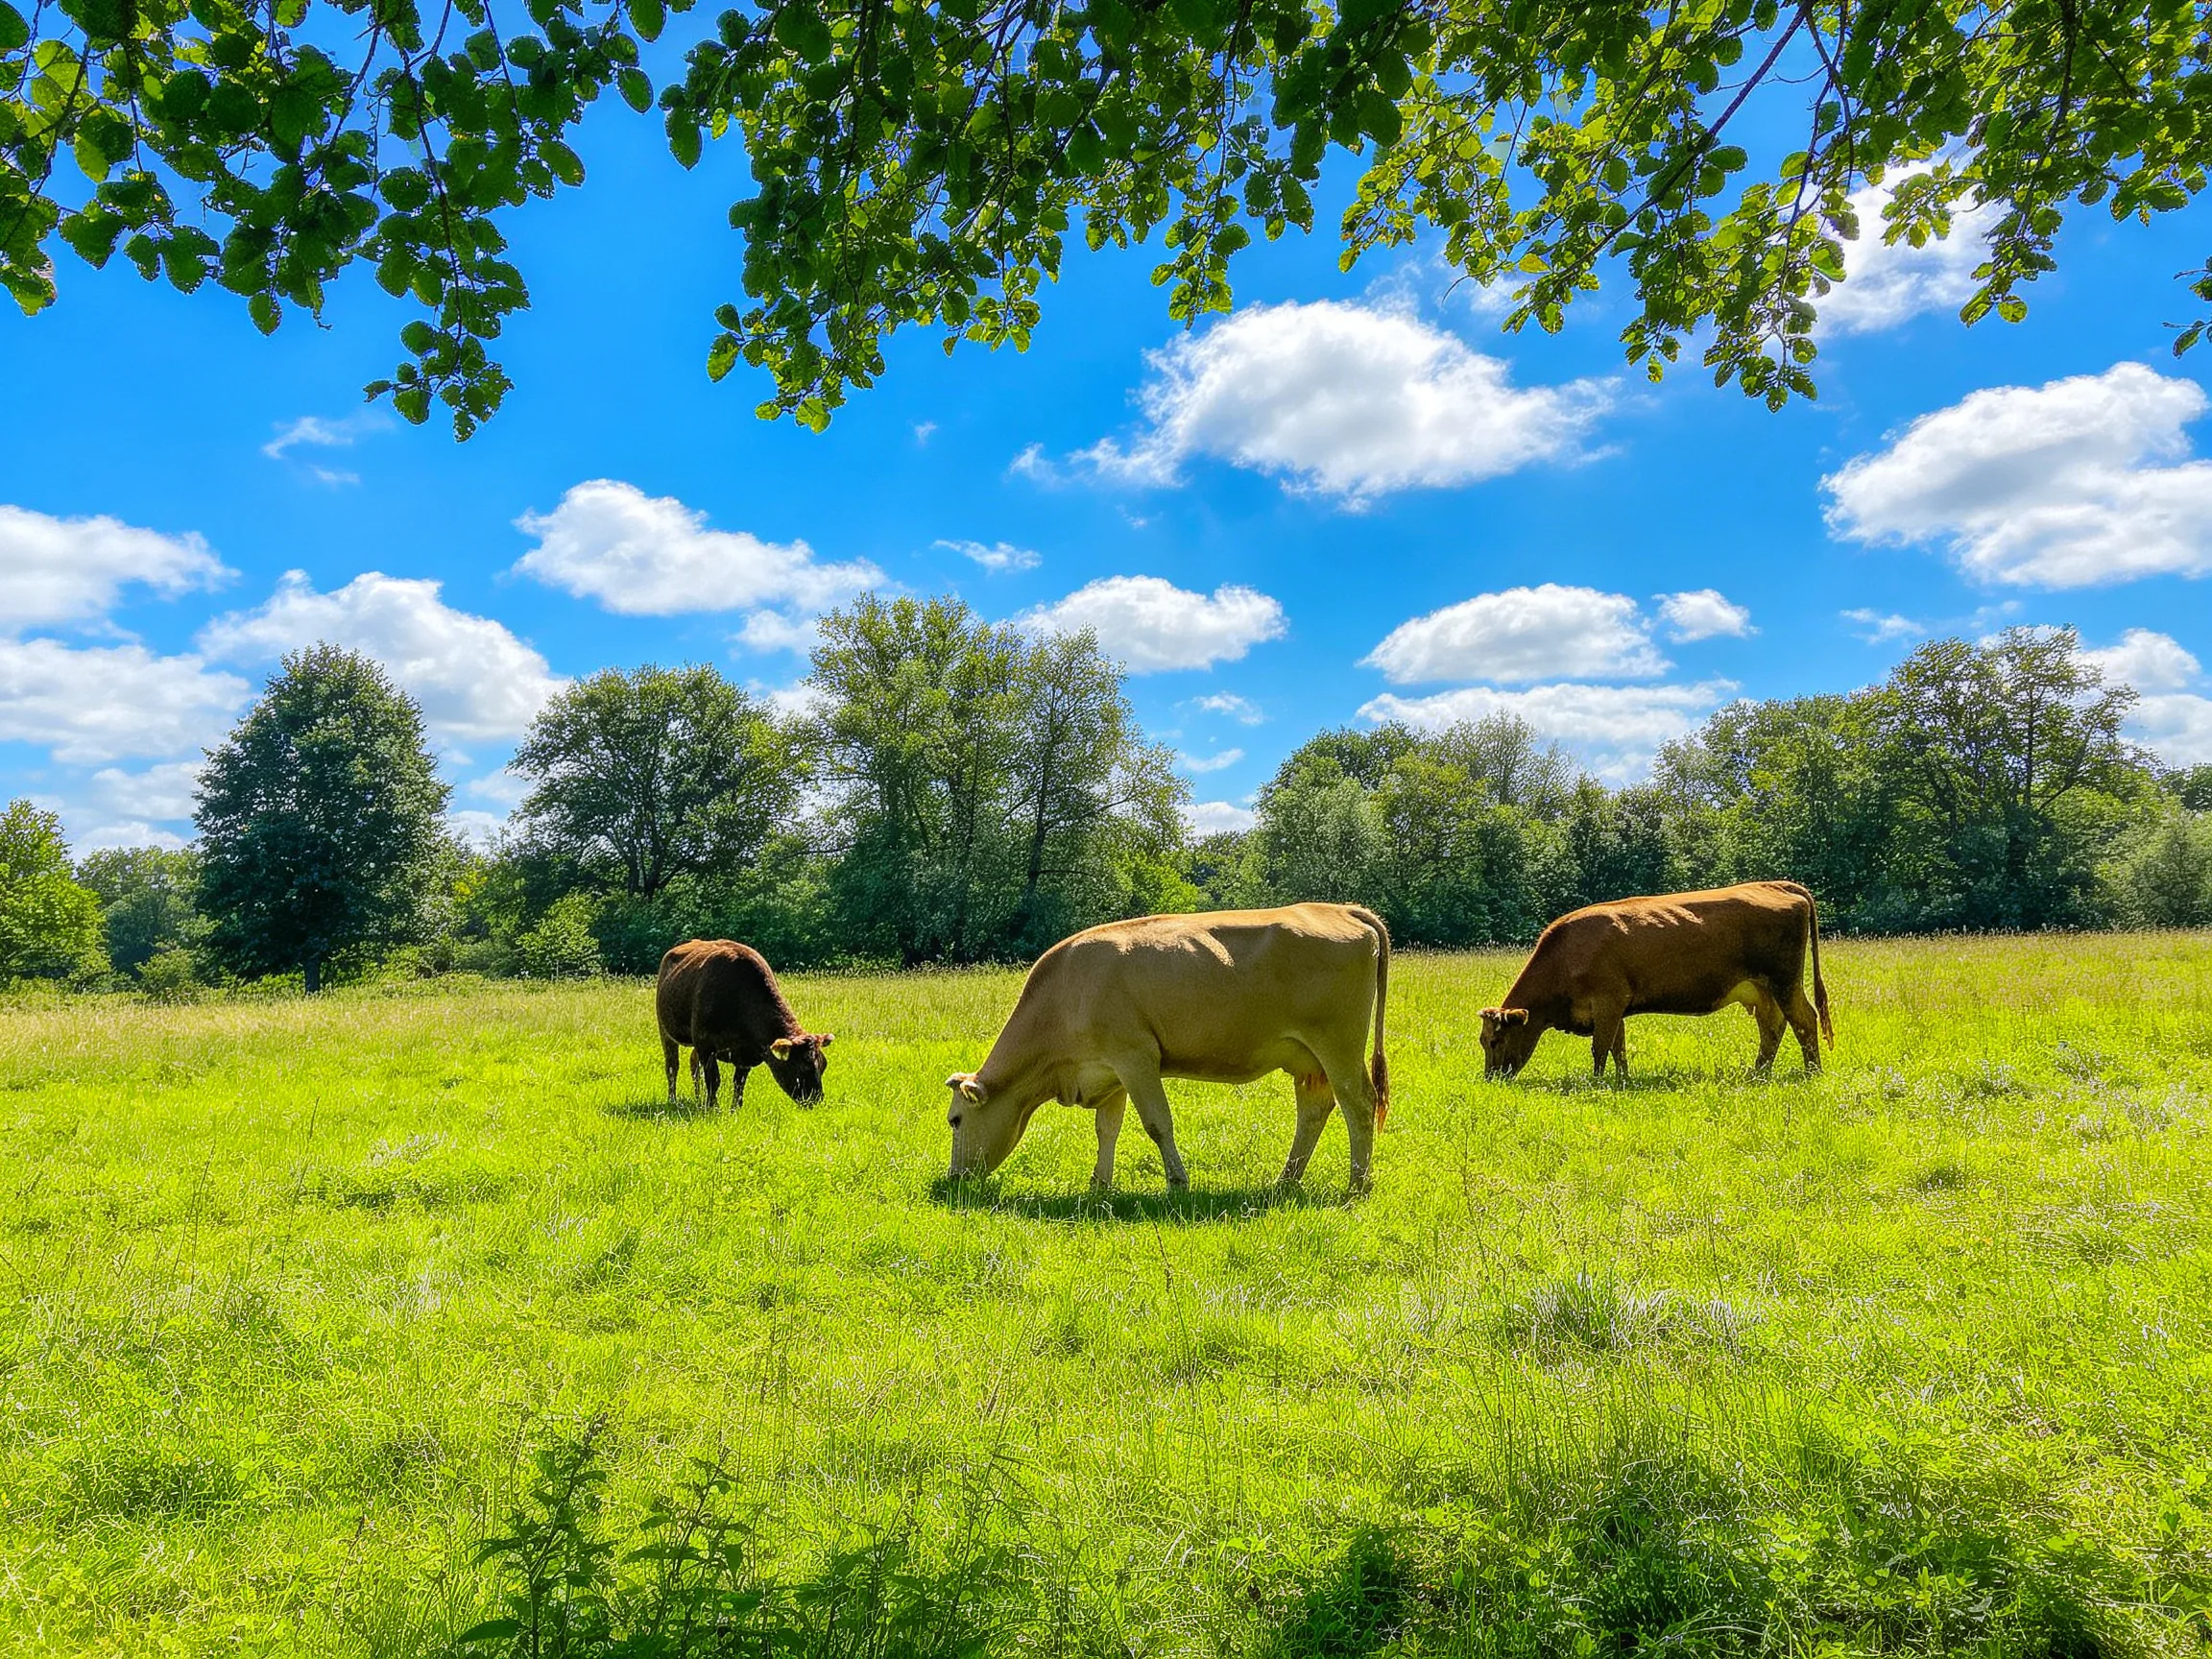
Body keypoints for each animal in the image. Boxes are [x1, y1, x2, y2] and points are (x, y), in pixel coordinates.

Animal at [655, 939, 833, 1110]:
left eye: (823, 1065)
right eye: (803, 1067)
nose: (817, 1099)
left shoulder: (745, 1052)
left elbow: (739, 1083)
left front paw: (735, 1108)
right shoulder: (704, 1042)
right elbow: (713, 1079)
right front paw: (713, 1107)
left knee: (693, 1063)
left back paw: (699, 1099)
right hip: (665, 1029)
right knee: (672, 1066)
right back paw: (673, 1100)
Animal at [943, 903, 1391, 1194]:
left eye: (955, 1120)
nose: (953, 1179)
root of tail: (1341, 908)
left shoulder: (1136, 1058)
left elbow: (1157, 1124)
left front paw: (1178, 1181)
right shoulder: (1109, 1070)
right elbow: (1107, 1128)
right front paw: (1099, 1184)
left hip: (1338, 1045)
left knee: (1359, 1103)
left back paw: (1357, 1183)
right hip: (1308, 1059)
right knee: (1314, 1110)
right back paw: (1286, 1180)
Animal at [1478, 881, 1833, 1080]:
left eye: (1495, 1040)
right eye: (1483, 1041)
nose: (1491, 1079)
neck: (1567, 955)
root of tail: (1779, 885)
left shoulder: (1608, 1002)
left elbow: (1600, 1048)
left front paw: (1596, 1082)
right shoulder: (1615, 1008)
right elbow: (1618, 1047)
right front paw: (1622, 1080)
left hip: (1785, 982)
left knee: (1804, 1019)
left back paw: (1812, 1071)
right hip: (1762, 990)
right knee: (1772, 1027)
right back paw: (1757, 1073)